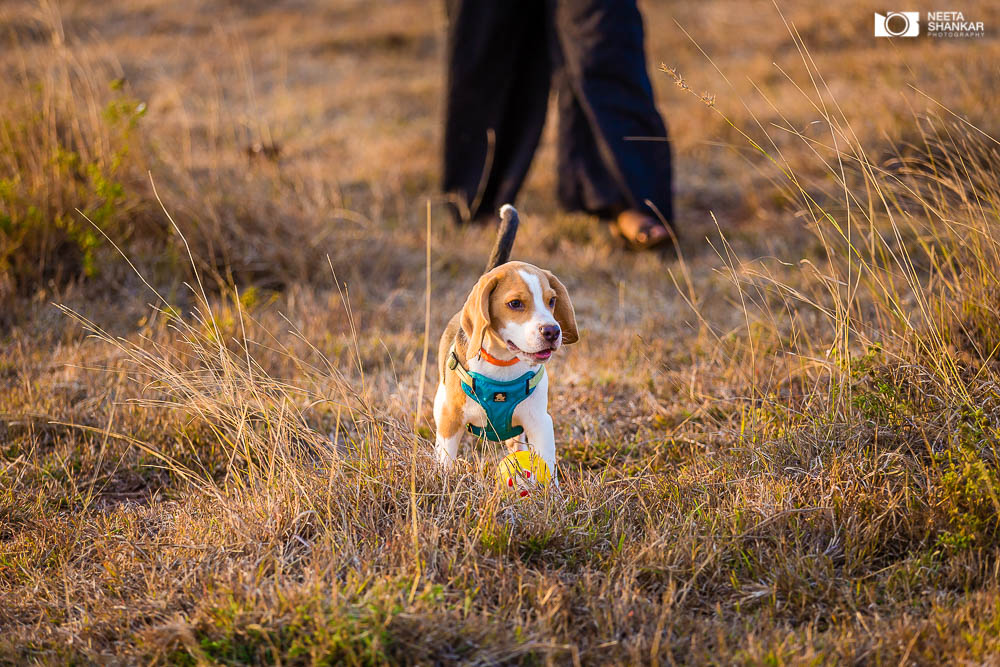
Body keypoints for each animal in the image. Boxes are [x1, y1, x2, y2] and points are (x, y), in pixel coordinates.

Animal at [432, 206, 580, 482]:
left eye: (552, 301)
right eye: (515, 304)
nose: (552, 332)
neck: (502, 363)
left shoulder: (539, 423)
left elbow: (547, 464)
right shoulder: (450, 419)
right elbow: (446, 458)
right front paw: (443, 479)